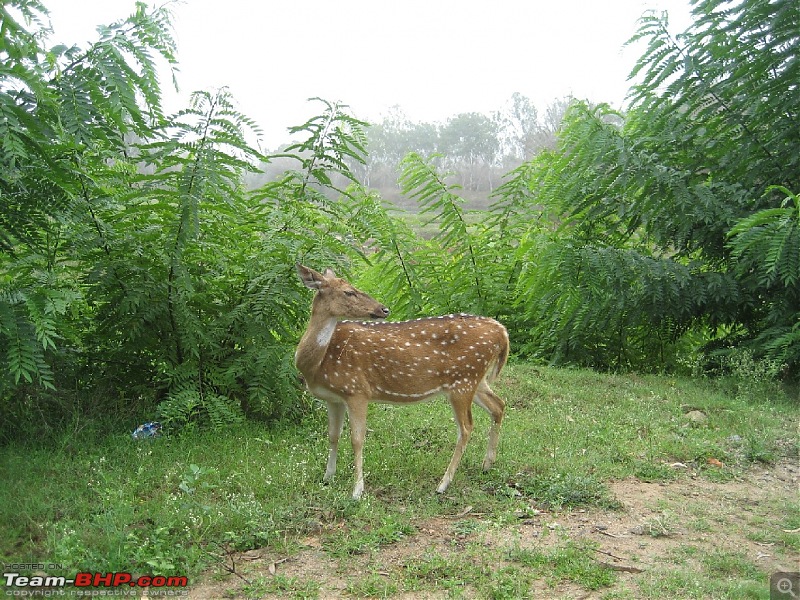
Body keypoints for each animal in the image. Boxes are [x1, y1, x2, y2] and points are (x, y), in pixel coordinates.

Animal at [292, 264, 506, 500]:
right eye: (348, 291)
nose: (384, 309)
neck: (318, 364)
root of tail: (503, 332)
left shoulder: (357, 390)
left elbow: (357, 440)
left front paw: (357, 491)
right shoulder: (334, 398)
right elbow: (333, 436)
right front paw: (327, 477)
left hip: (464, 381)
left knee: (467, 427)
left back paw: (443, 484)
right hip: (475, 379)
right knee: (499, 405)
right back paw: (487, 464)